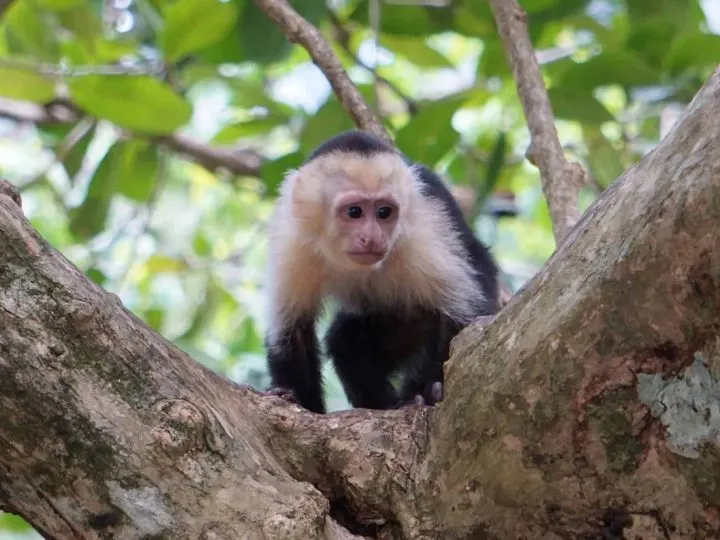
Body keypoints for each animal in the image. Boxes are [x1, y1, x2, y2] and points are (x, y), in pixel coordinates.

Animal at [262, 130, 500, 414]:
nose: (373, 238)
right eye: (354, 212)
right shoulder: (293, 238)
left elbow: (464, 313)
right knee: (346, 341)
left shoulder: (426, 224)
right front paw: (295, 396)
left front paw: (429, 390)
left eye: (384, 212)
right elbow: (291, 329)